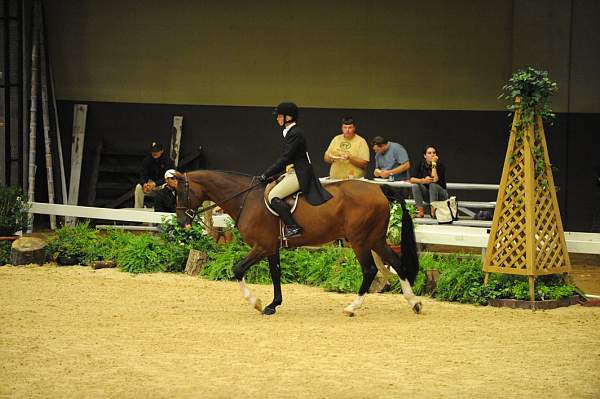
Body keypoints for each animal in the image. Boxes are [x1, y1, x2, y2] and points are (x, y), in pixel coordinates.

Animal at [175, 170, 422, 318]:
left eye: (179, 192)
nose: (181, 222)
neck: (247, 199)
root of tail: (378, 188)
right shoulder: (271, 247)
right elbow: (275, 274)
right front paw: (273, 304)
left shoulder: (261, 246)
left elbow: (238, 269)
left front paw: (256, 302)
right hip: (375, 239)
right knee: (397, 263)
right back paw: (414, 303)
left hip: (360, 240)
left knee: (370, 270)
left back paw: (352, 307)